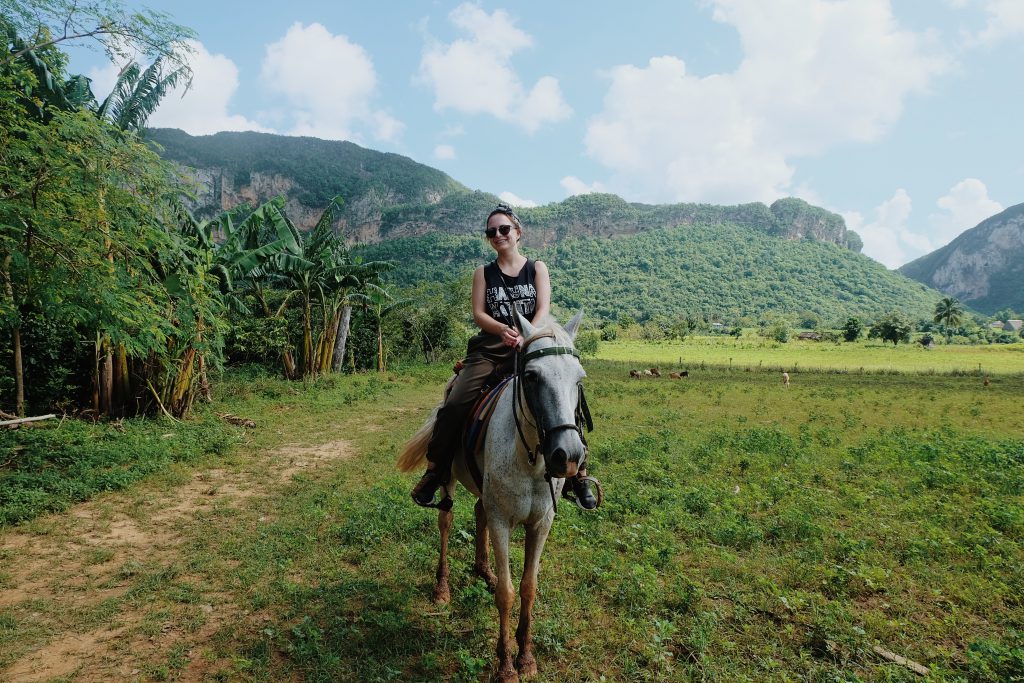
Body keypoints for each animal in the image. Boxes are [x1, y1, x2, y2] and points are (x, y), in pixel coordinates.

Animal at [399, 313, 593, 679]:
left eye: (579, 379)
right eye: (531, 377)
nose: (568, 456)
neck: (530, 458)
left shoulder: (542, 523)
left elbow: (529, 587)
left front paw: (526, 657)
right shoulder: (503, 521)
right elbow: (506, 593)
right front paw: (505, 665)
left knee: (479, 512)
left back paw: (483, 571)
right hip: (447, 480)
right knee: (446, 521)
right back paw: (442, 588)